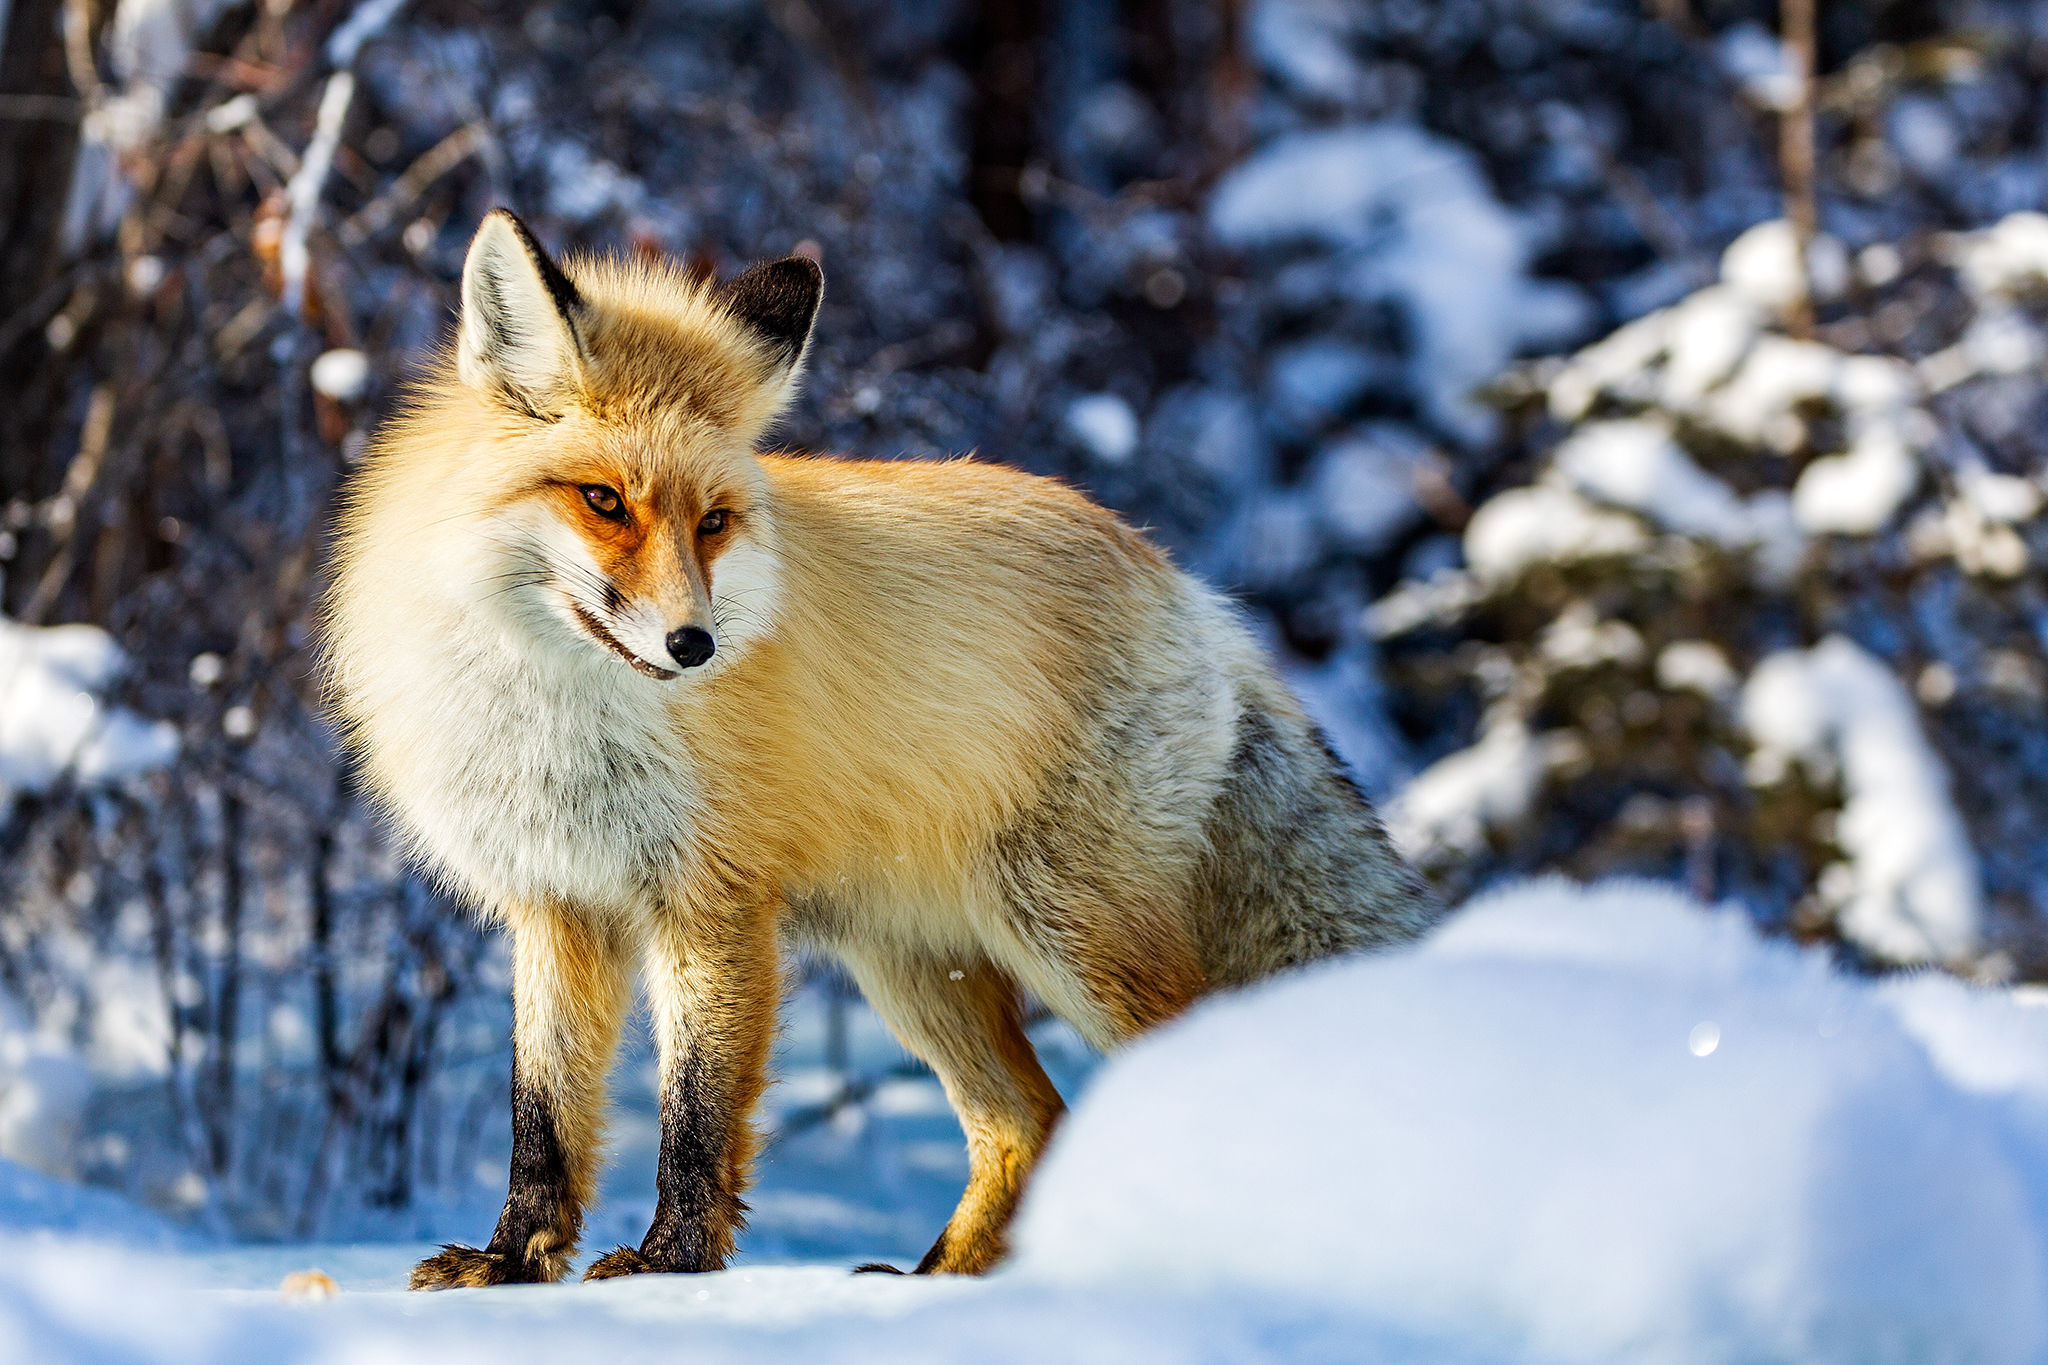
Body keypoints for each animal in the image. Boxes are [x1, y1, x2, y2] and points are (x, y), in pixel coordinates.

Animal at [323, 208, 1441, 1285]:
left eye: (713, 522)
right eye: (603, 500)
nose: (694, 646)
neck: (553, 711)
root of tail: (1188, 586)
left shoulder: (712, 902)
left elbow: (696, 1117)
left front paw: (668, 1267)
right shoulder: (556, 901)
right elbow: (543, 1114)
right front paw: (513, 1261)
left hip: (1065, 931)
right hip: (910, 963)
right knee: (1026, 1122)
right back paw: (930, 1280)